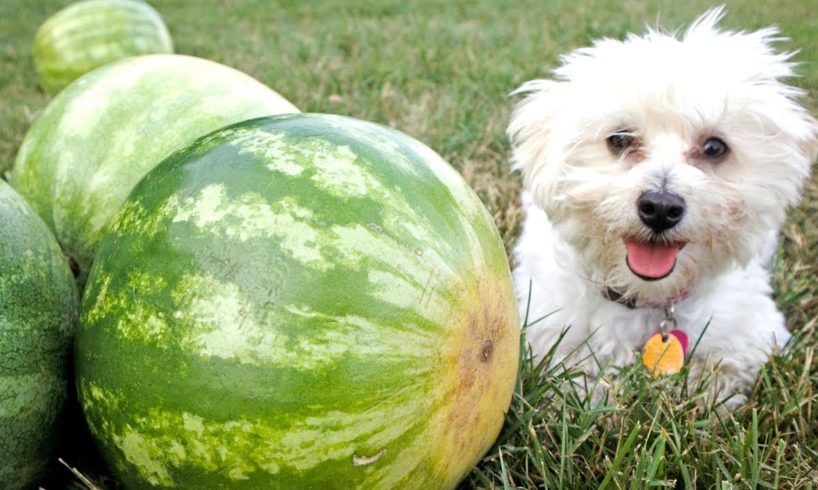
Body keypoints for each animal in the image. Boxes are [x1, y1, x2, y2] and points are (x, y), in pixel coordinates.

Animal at [510, 8, 816, 406]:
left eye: (714, 147)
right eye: (620, 139)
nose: (659, 207)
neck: (648, 299)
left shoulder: (751, 337)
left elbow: (720, 376)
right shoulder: (548, 330)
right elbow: (575, 380)